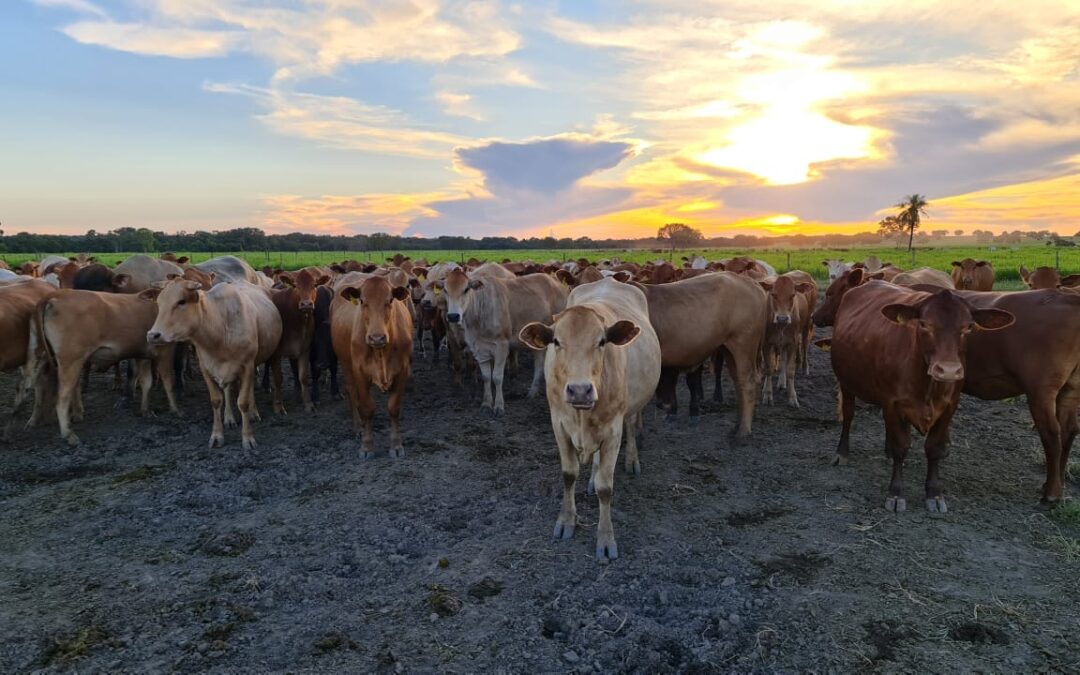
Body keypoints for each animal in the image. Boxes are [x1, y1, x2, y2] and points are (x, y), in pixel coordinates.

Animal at [328, 274, 412, 457]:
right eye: (362, 301)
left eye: (390, 300)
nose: (376, 337)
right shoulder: (359, 370)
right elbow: (367, 407)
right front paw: (366, 446)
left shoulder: (403, 369)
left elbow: (394, 407)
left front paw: (396, 445)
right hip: (346, 363)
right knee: (352, 391)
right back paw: (358, 427)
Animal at [518, 276, 660, 561]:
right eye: (556, 341)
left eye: (602, 341)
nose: (580, 390)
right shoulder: (559, 424)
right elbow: (568, 474)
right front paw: (566, 520)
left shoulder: (613, 431)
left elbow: (607, 488)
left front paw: (605, 538)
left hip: (632, 408)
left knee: (632, 428)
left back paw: (632, 460)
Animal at [825, 280, 1010, 509]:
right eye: (923, 324)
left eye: (969, 326)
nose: (948, 370)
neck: (928, 386)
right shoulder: (892, 401)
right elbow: (901, 446)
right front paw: (895, 493)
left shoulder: (949, 406)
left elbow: (933, 448)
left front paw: (934, 493)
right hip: (846, 382)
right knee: (849, 414)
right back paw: (842, 452)